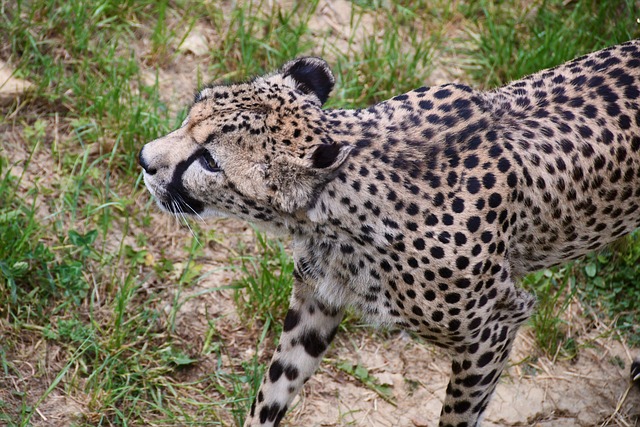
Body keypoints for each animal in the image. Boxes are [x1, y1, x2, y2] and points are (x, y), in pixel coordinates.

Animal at [140, 41, 640, 427]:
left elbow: (457, 416)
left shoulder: (496, 327)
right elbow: (274, 388)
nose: (144, 159)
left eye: (208, 161)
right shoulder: (318, 300)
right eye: (192, 111)